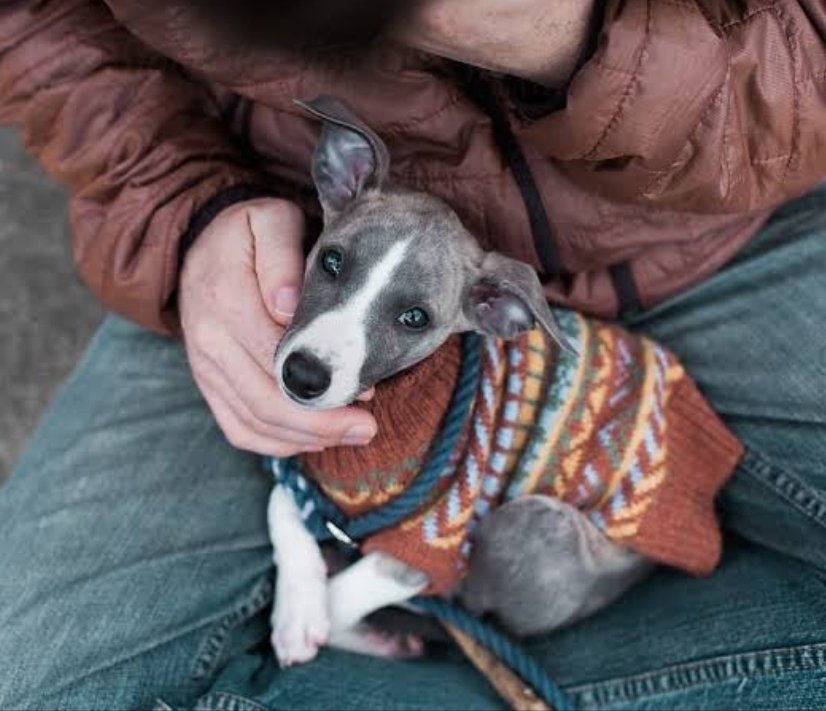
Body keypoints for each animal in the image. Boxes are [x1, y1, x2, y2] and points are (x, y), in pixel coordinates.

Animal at [268, 97, 648, 664]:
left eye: (415, 318)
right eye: (332, 260)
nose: (303, 375)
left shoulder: (433, 539)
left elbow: (352, 593)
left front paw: (310, 618)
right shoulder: (303, 475)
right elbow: (281, 503)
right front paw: (297, 606)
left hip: (533, 523)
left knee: (464, 604)